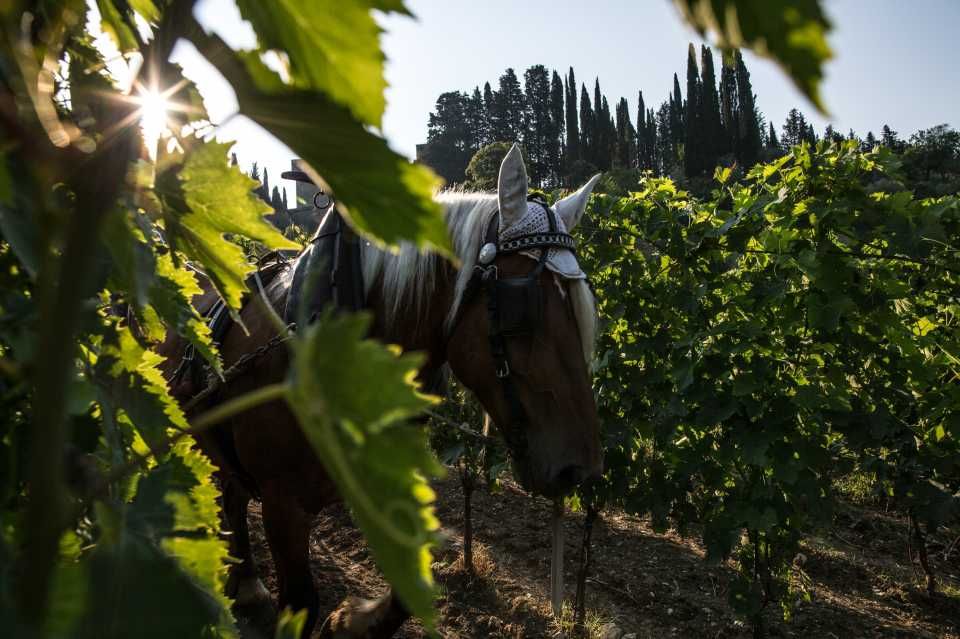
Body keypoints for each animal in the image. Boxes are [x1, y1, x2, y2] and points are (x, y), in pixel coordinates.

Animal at [161, 146, 604, 639]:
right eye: (520, 307)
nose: (580, 471)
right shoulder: (282, 504)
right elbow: (301, 602)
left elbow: (412, 587)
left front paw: (352, 621)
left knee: (231, 489)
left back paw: (246, 581)